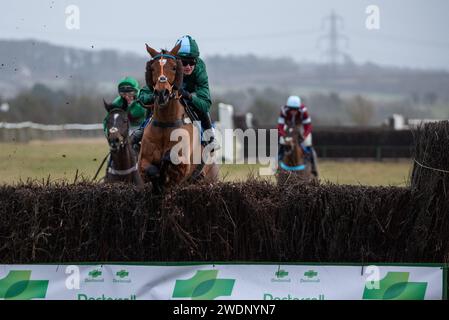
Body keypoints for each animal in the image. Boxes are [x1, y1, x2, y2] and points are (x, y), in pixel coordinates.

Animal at [138, 43, 219, 191]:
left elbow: (170, 160)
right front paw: (158, 180)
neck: (166, 122)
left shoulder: (182, 166)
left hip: (211, 179)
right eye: (152, 68)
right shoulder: (143, 163)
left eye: (174, 67)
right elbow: (152, 171)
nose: (162, 93)